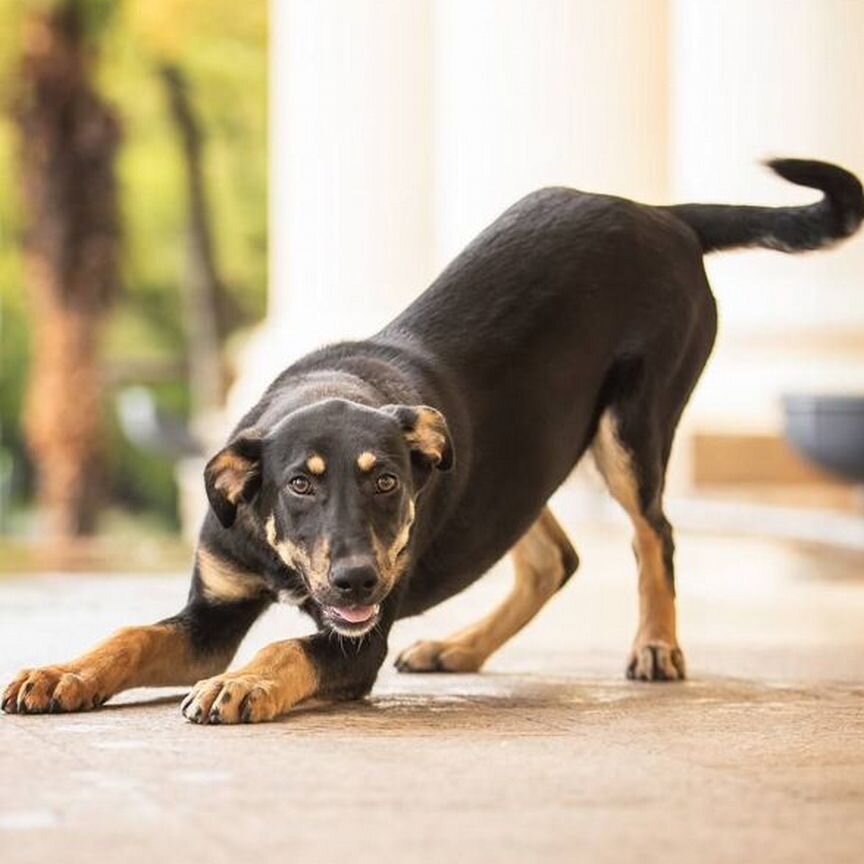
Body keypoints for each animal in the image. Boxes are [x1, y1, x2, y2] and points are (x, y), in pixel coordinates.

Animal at [3, 157, 860, 724]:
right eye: (299, 484)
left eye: (385, 482)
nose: (354, 581)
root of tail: (664, 214)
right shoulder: (212, 610)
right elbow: (128, 637)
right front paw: (60, 673)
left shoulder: (358, 641)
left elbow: (287, 649)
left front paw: (242, 684)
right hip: (517, 460)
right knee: (553, 556)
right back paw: (459, 650)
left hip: (631, 428)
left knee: (656, 534)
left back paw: (656, 647)